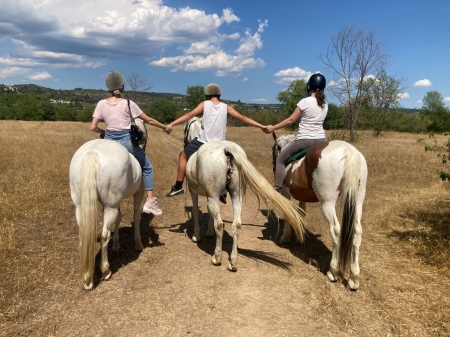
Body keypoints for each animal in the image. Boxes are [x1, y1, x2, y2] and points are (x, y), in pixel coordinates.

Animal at [69, 139, 145, 288]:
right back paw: (106, 271)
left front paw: (116, 244)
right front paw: (138, 243)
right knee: (104, 235)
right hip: (111, 206)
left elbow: (119, 218)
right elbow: (136, 215)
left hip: (81, 207)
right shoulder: (138, 193)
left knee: (84, 234)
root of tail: (92, 152)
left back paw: (87, 277)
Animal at [185, 139, 306, 270]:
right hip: (237, 195)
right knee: (237, 225)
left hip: (215, 196)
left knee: (220, 224)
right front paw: (209, 232)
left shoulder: (194, 192)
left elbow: (195, 211)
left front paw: (196, 235)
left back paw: (217, 258)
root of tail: (227, 149)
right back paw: (233, 262)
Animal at [272, 133, 368, 290]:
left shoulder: (285, 193)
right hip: (358, 198)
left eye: (274, 149)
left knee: (336, 231)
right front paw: (300, 237)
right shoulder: (302, 196)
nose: (274, 165)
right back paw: (353, 279)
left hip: (327, 203)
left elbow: (288, 213)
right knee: (357, 232)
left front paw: (285, 237)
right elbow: (301, 214)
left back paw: (332, 272)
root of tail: (349, 151)